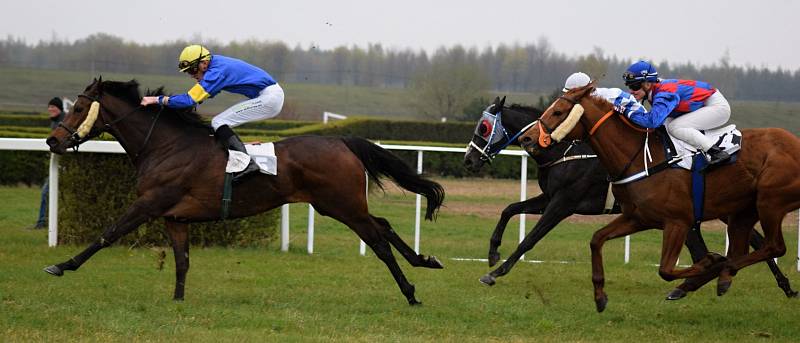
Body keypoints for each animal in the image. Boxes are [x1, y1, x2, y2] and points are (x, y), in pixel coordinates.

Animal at [43, 78, 446, 306]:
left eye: (80, 107)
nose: (52, 141)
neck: (165, 146)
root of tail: (341, 141)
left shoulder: (149, 203)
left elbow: (107, 234)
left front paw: (61, 265)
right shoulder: (175, 216)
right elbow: (182, 260)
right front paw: (178, 301)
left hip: (342, 205)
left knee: (378, 240)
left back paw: (411, 292)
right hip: (337, 205)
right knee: (384, 225)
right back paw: (425, 261)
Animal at [462, 97, 792, 300]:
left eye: (483, 128)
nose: (468, 160)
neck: (562, 149)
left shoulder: (563, 203)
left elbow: (531, 238)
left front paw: (495, 272)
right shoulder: (550, 197)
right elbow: (509, 209)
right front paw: (492, 252)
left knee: (752, 242)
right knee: (753, 241)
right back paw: (775, 284)